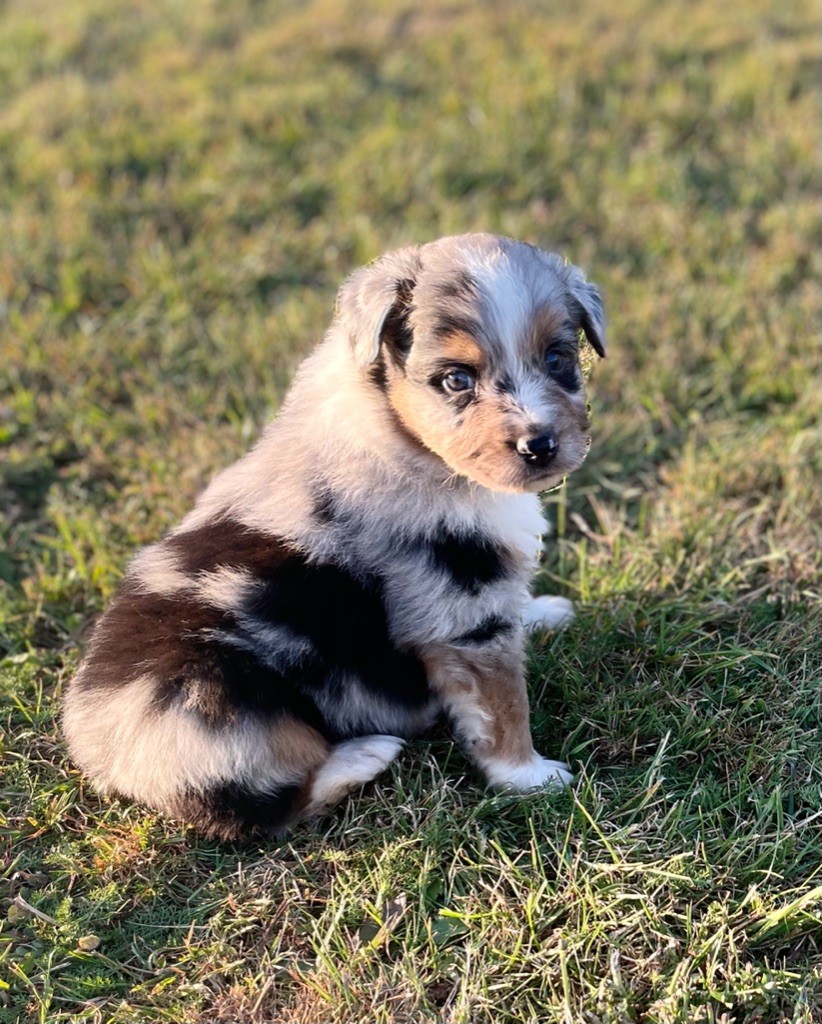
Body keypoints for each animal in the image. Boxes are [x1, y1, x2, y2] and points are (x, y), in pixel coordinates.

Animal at [62, 234, 606, 839]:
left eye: (558, 358)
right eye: (456, 379)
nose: (540, 446)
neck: (405, 440)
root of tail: (100, 755)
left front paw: (543, 611)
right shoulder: (461, 601)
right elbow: (504, 702)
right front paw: (531, 778)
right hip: (211, 703)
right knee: (260, 807)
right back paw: (363, 756)